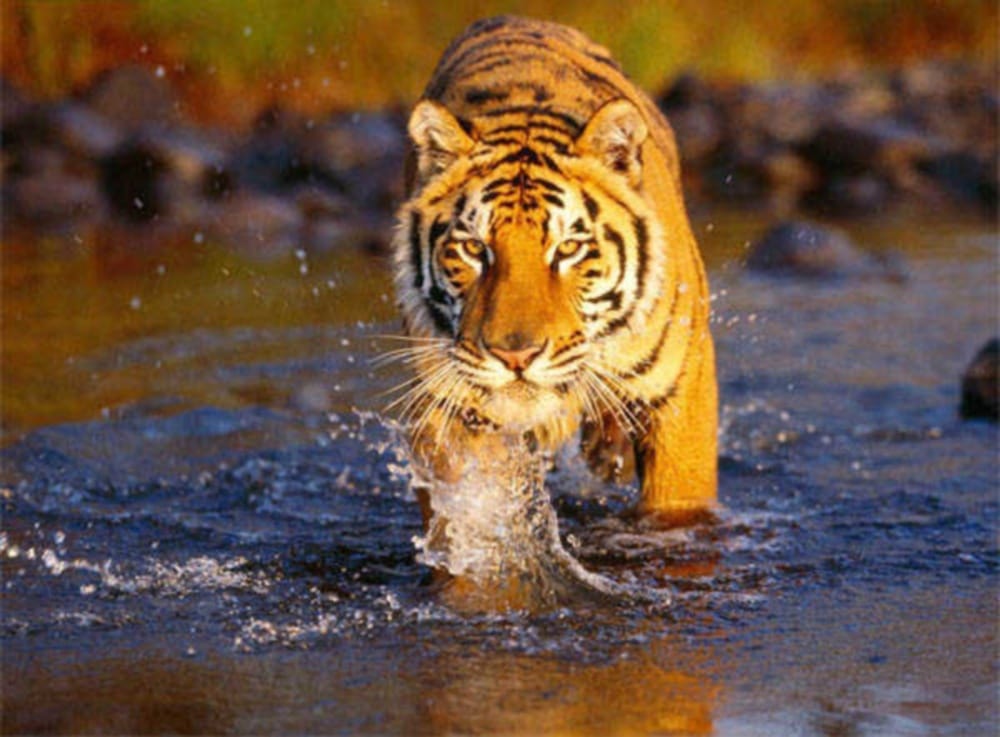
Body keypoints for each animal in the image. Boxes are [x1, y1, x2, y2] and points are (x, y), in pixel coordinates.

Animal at [388, 15, 718, 525]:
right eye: (473, 248)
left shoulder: (681, 392)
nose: (516, 358)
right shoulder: (446, 405)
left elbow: (677, 506)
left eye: (568, 248)